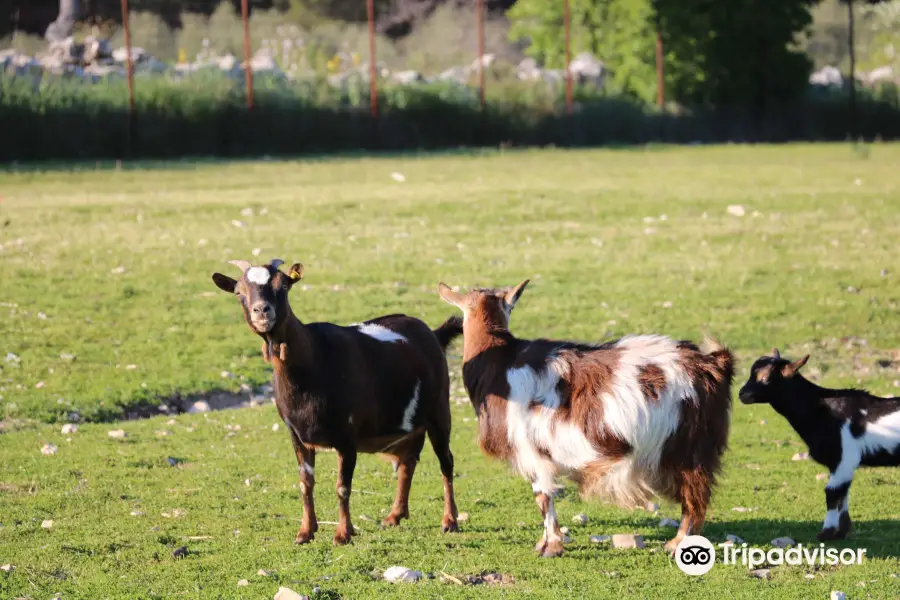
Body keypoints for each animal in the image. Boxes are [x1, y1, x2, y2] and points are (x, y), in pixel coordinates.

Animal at [213, 258, 464, 544]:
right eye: (238, 292)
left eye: (284, 285)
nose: (262, 311)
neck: (314, 361)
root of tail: (433, 333)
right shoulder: (296, 434)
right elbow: (305, 483)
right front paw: (305, 532)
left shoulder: (347, 436)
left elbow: (342, 486)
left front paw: (343, 533)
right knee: (408, 461)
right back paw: (394, 516)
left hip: (439, 410)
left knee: (446, 462)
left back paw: (450, 521)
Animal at [438, 282, 740, 556]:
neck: (500, 364)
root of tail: (712, 364)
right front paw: (545, 543)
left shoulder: (532, 451)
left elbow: (543, 496)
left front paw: (550, 547)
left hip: (689, 449)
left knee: (695, 500)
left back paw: (677, 543)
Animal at [740, 350, 900, 540]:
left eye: (765, 378)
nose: (742, 394)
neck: (822, 410)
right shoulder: (836, 463)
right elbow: (842, 494)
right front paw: (841, 531)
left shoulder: (845, 458)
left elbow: (832, 492)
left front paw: (826, 532)